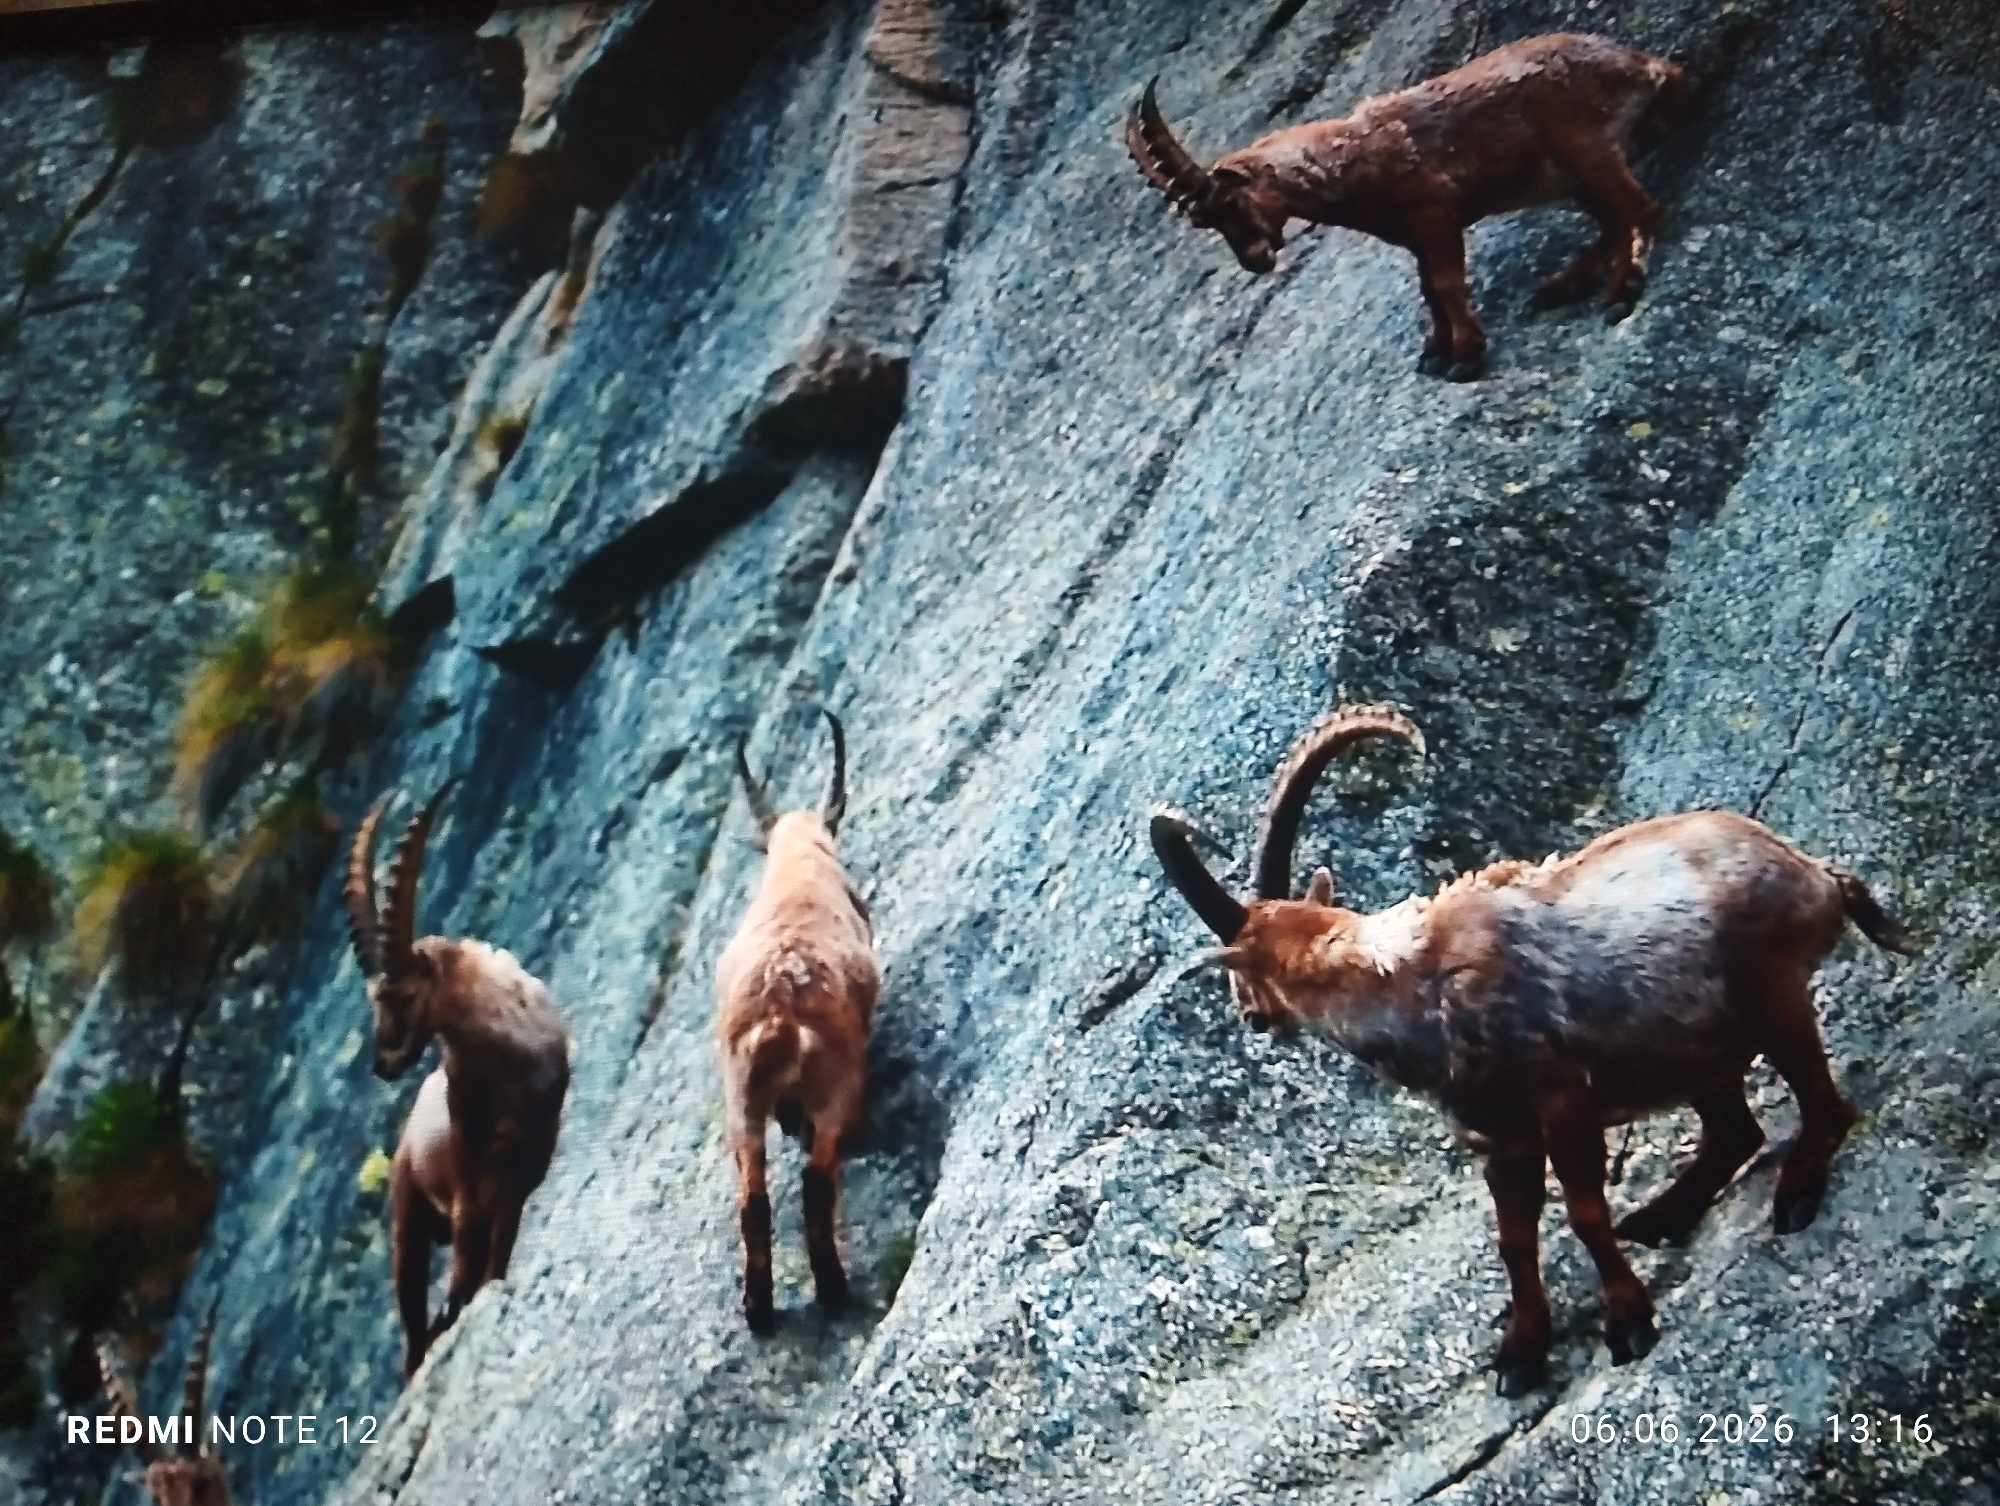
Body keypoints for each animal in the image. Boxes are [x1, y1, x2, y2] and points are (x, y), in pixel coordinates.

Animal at [344, 783, 570, 1382]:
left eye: (402, 996)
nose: (382, 1064)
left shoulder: (521, 1175)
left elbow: (493, 1266)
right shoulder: (470, 1177)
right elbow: (465, 1275)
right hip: (408, 1215)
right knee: (415, 1324)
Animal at [717, 710, 879, 1333]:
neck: (799, 863)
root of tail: (780, 1015)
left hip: (739, 1102)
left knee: (752, 1199)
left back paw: (759, 1309)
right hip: (837, 1085)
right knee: (815, 1182)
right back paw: (833, 1290)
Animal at [1127, 33, 1688, 378]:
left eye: (1229, 201)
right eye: (1204, 220)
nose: (1255, 260)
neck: (1347, 160)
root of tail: (1647, 65)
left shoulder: (1436, 213)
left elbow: (1447, 282)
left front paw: (1466, 357)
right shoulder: (1415, 236)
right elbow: (1427, 290)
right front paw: (1435, 352)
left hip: (1586, 147)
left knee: (1638, 210)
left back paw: (1622, 291)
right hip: (1571, 175)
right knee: (1611, 221)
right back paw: (1560, 286)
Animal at [1151, 706, 1914, 1394]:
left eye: (1240, 967)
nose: (1251, 1017)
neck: (1411, 981)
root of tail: (1819, 876)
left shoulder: (1562, 1104)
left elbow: (1582, 1213)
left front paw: (1628, 1323)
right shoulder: (1500, 1138)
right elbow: (1513, 1240)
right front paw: (1521, 1354)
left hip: (1770, 992)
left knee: (1823, 1103)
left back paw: (1796, 1193)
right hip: (1695, 1048)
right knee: (1735, 1130)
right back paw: (1661, 1217)